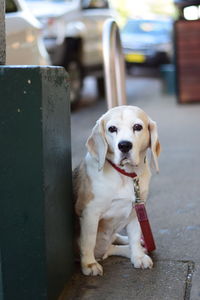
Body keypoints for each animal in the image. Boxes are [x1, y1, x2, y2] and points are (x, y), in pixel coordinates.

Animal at [73, 105, 161, 276]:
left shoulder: (136, 210)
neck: (126, 175)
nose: (124, 145)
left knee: (112, 246)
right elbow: (88, 240)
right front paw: (89, 264)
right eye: (112, 129)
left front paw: (138, 256)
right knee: (104, 248)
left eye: (137, 127)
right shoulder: (90, 213)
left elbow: (135, 236)